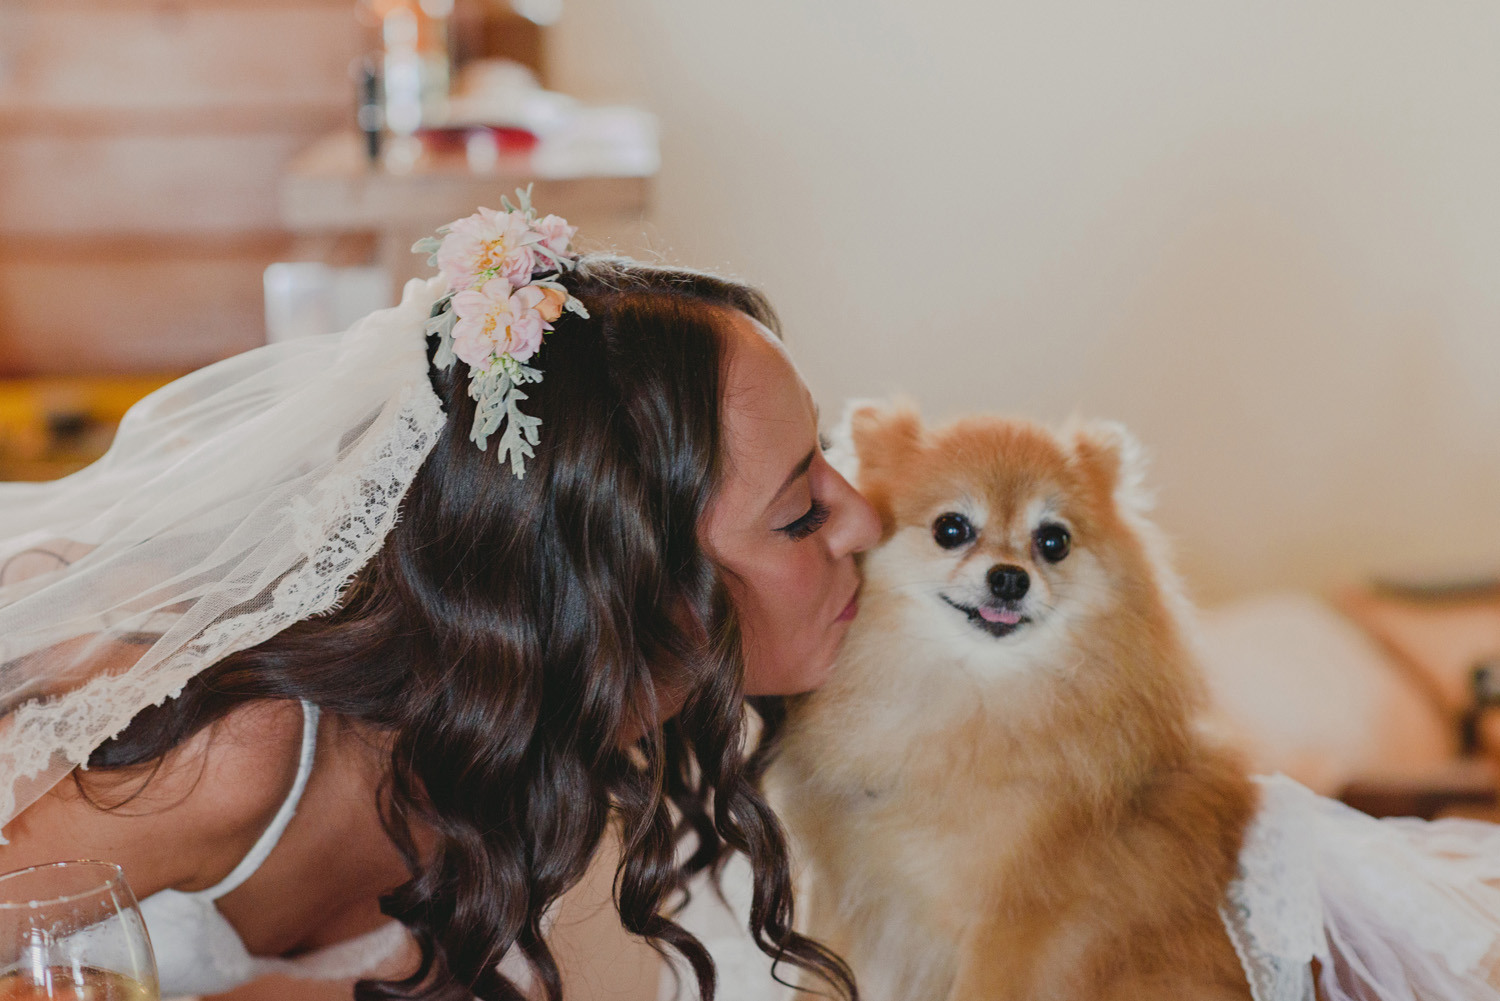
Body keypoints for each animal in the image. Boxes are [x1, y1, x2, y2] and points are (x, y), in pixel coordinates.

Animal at [768, 402, 1260, 1001]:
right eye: (950, 529)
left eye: (1054, 541)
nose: (1009, 579)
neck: (972, 699)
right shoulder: (847, 898)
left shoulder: (1008, 930)